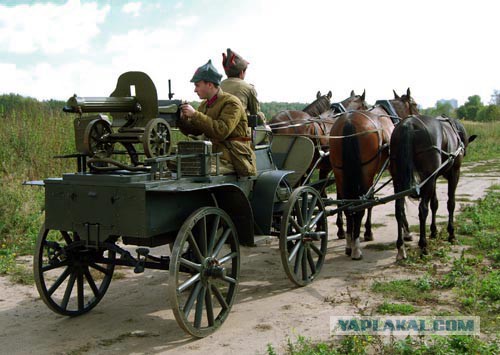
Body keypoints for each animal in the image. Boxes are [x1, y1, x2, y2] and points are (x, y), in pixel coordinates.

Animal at [330, 89, 420, 262]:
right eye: (415, 104)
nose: (418, 117)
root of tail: (348, 122)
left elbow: (370, 201)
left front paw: (367, 232)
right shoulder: (393, 170)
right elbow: (397, 202)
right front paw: (405, 232)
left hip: (340, 173)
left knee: (347, 205)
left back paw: (349, 243)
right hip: (365, 172)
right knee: (358, 205)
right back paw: (356, 248)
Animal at [390, 115, 476, 260]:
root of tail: (409, 124)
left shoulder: (434, 178)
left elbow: (434, 204)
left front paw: (434, 231)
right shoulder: (454, 173)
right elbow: (450, 203)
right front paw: (451, 234)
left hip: (398, 179)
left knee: (399, 209)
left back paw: (401, 246)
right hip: (428, 178)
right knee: (422, 209)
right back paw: (423, 245)